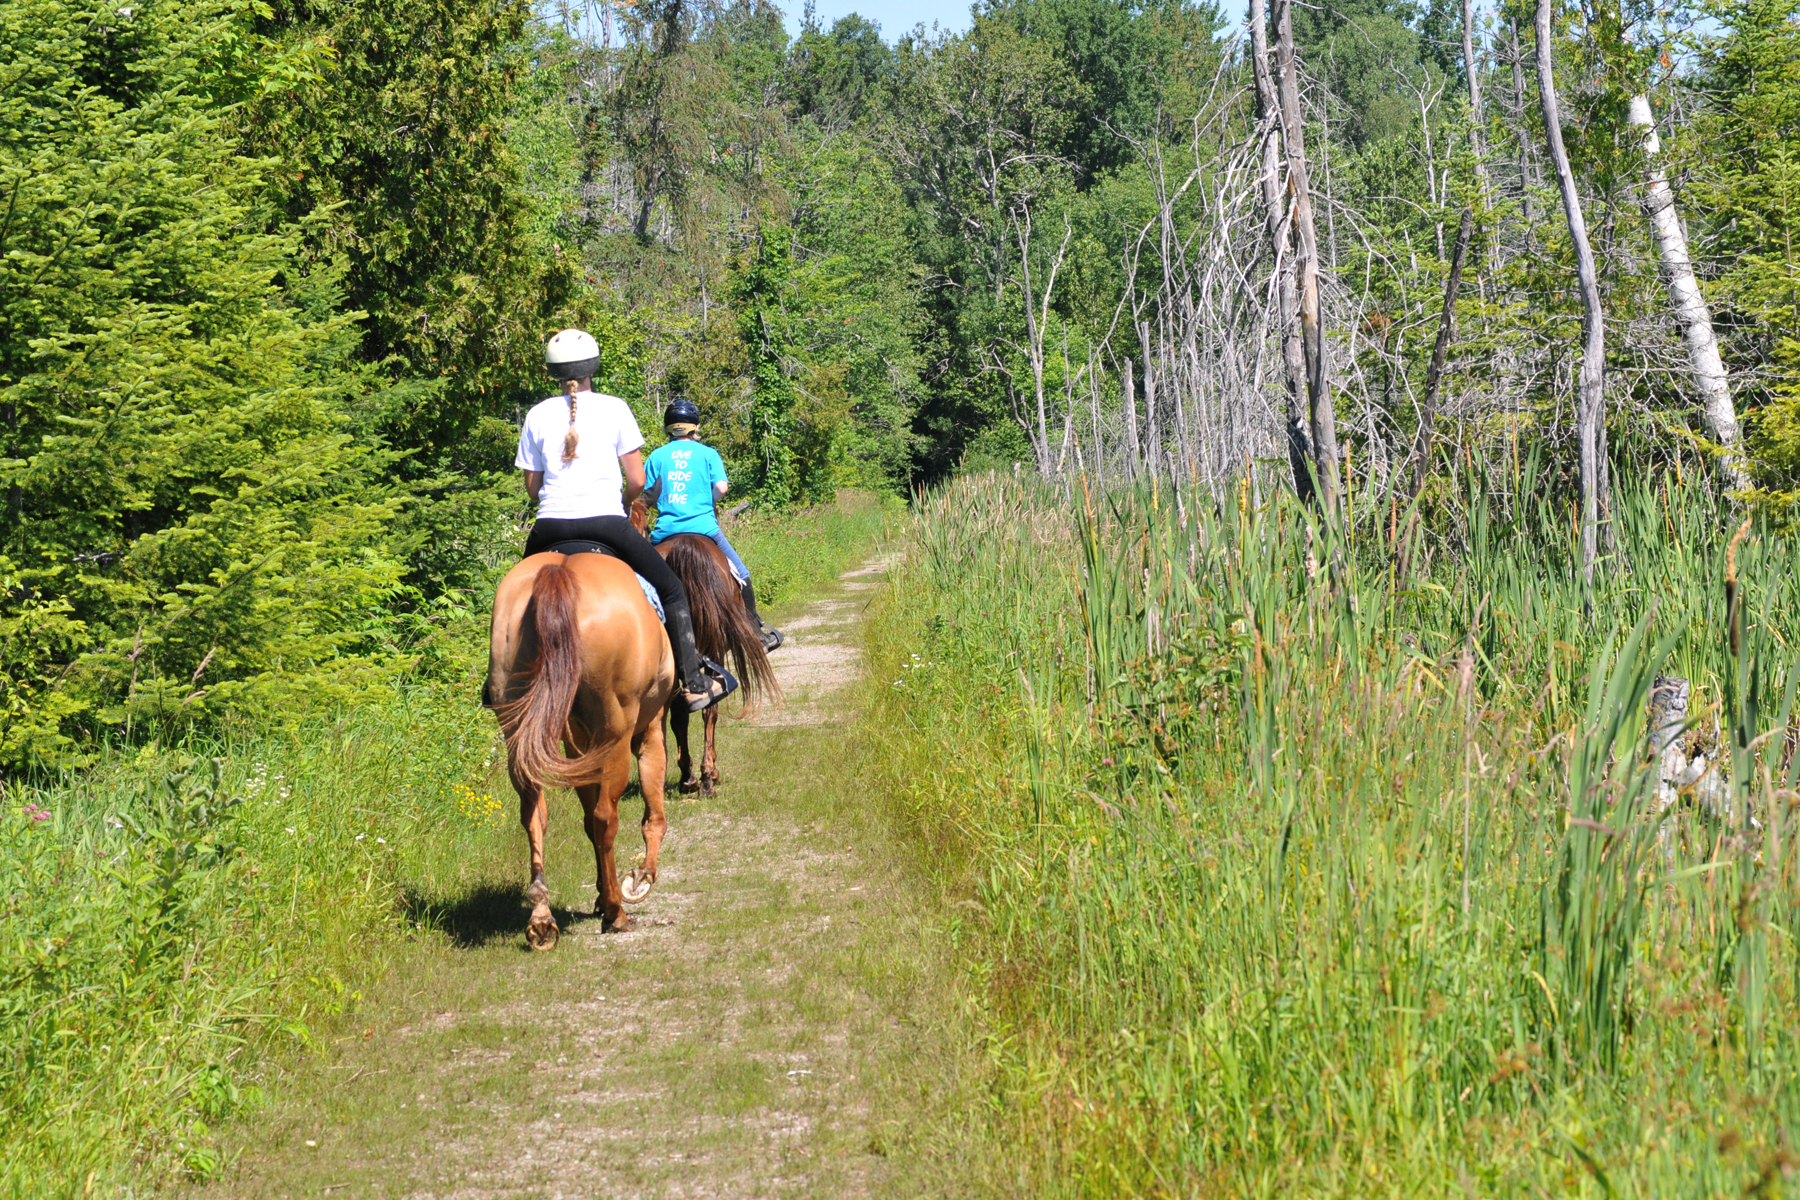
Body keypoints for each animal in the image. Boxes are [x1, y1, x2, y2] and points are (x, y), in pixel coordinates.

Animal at [482, 550, 673, 949]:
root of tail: (561, 572)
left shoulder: (576, 746)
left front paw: (603, 890)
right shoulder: (649, 730)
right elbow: (653, 814)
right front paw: (640, 878)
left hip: (520, 729)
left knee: (534, 813)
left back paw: (542, 916)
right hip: (615, 735)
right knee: (605, 818)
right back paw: (616, 913)